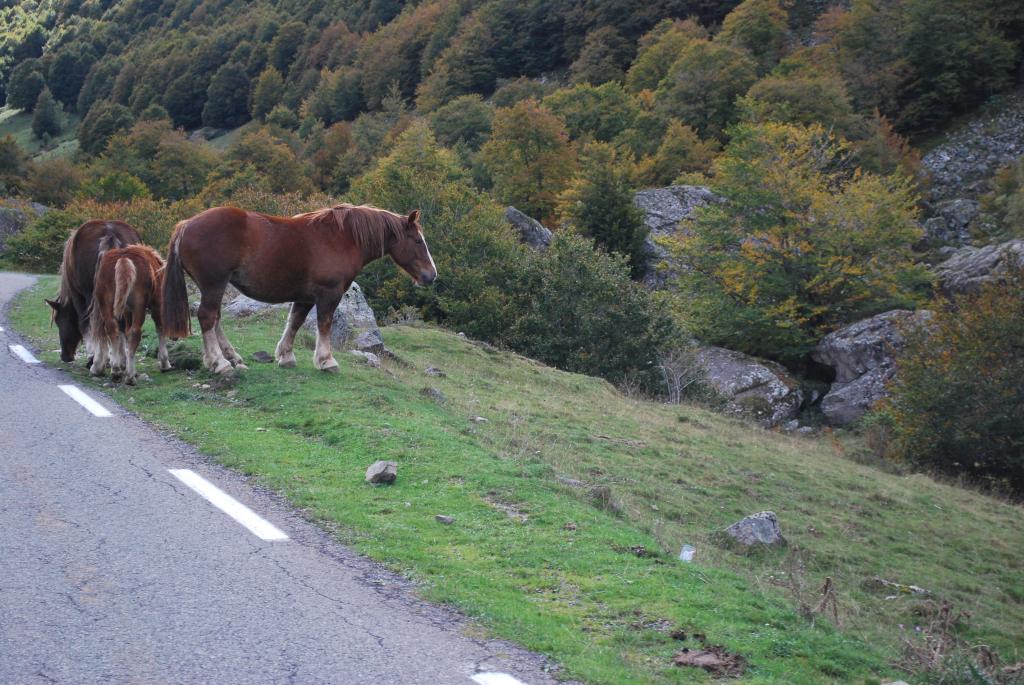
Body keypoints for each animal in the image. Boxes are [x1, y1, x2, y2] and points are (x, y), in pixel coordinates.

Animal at [46, 222, 141, 366]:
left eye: (58, 320)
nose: (65, 356)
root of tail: (109, 233)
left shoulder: (77, 295)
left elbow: (84, 324)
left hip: (90, 294)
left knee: (93, 323)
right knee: (121, 324)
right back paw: (121, 360)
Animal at [89, 242, 171, 382]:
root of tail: (123, 258)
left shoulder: (126, 312)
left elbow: (125, 333)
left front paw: (122, 364)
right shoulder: (157, 305)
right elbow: (160, 329)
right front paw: (165, 363)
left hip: (106, 305)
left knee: (112, 329)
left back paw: (115, 369)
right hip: (139, 307)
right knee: (135, 333)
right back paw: (130, 376)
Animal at [160, 204, 436, 374]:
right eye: (418, 241)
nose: (432, 275)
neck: (341, 238)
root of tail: (186, 225)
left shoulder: (305, 297)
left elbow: (294, 322)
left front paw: (285, 356)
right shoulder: (329, 294)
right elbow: (324, 324)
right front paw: (326, 361)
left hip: (214, 286)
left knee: (214, 318)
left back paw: (232, 358)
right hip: (214, 284)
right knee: (208, 317)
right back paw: (219, 363)